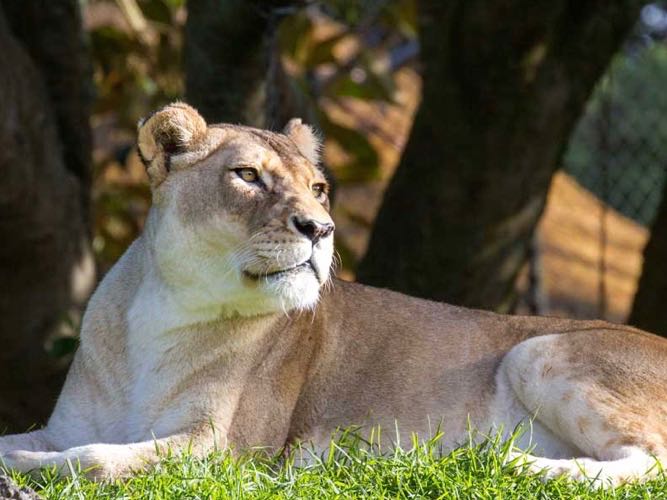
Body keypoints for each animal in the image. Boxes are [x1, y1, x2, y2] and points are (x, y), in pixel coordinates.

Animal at [1, 102, 666, 487]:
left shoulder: (222, 450)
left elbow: (96, 457)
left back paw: (508, 463)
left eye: (317, 187)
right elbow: (40, 437)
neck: (164, 308)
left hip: (538, 350)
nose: (320, 228)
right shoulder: (67, 424)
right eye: (248, 176)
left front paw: (26, 469)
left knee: (648, 462)